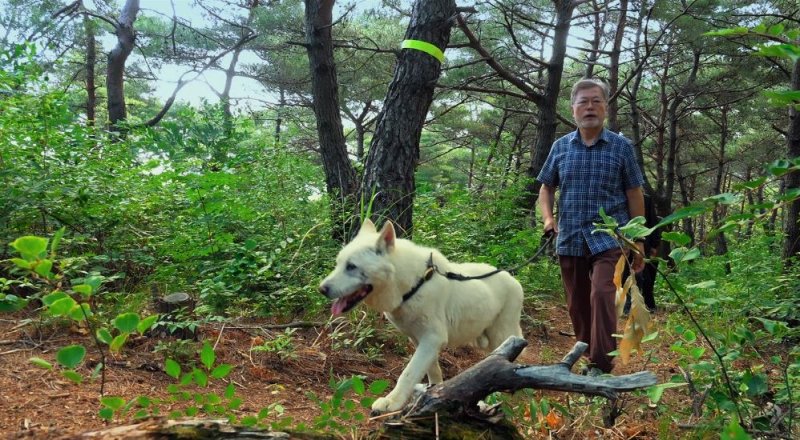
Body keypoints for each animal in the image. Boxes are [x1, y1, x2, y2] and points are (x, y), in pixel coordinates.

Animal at [318, 220, 524, 412]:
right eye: (338, 264)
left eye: (351, 266)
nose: (321, 289)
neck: (413, 286)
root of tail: (514, 280)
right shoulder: (420, 340)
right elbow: (432, 371)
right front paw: (435, 392)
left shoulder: (432, 339)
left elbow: (408, 373)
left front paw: (392, 402)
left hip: (502, 337)